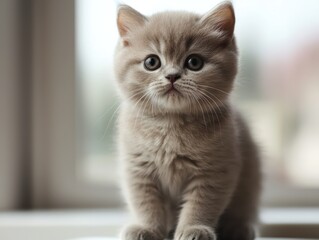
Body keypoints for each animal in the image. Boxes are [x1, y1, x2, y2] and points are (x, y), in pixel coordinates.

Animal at [114, 1, 262, 240]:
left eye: (194, 62)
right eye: (151, 62)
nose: (172, 76)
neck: (170, 125)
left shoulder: (215, 171)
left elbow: (201, 205)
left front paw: (195, 229)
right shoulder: (138, 170)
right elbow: (146, 204)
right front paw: (147, 228)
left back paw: (237, 228)